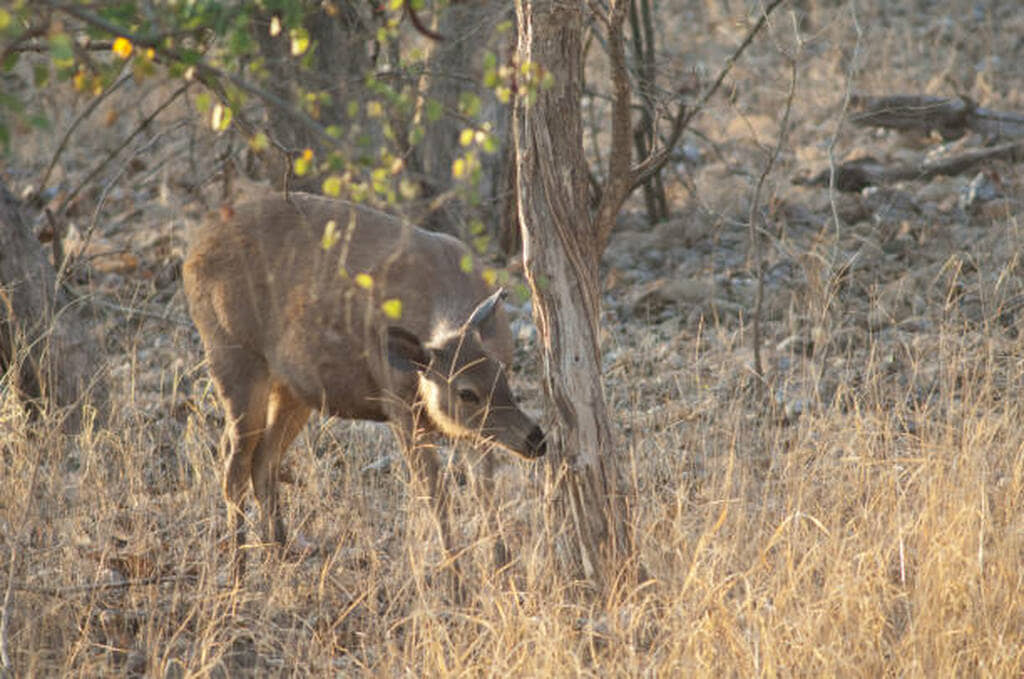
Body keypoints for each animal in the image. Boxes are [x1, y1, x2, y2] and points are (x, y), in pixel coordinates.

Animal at [182, 191, 546, 578]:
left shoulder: (469, 429)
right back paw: (238, 568)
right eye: (466, 392)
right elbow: (436, 493)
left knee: (263, 459)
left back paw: (277, 551)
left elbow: (485, 489)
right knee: (234, 462)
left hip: (294, 389)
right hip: (232, 355)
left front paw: (503, 570)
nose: (536, 439)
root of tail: (191, 255)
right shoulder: (399, 404)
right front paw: (457, 578)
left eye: (502, 373)